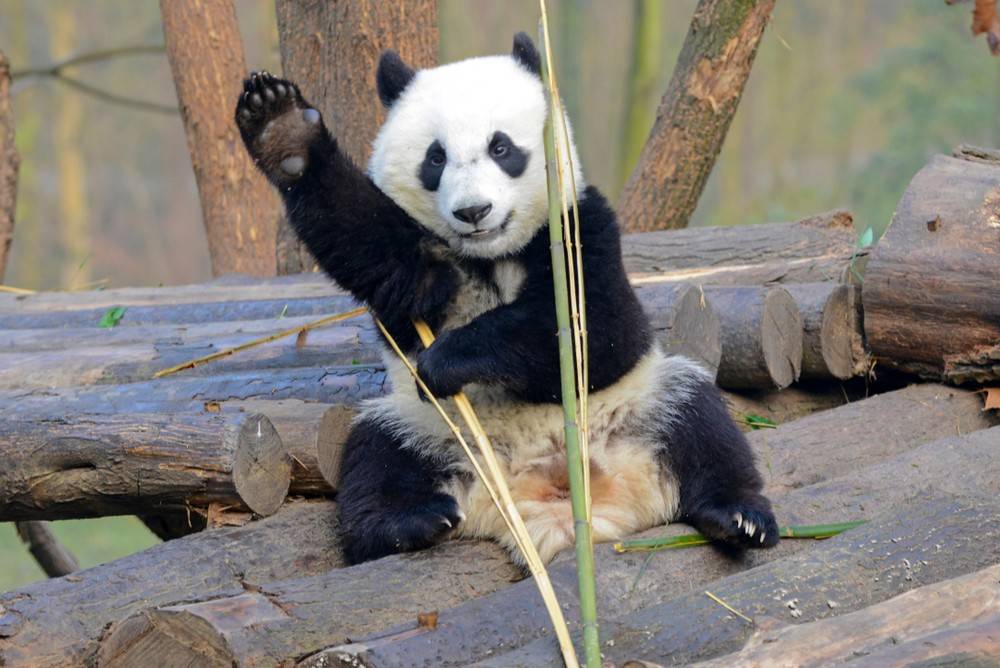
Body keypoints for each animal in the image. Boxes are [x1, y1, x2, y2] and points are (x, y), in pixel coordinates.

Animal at [235, 33, 779, 565]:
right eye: (435, 158)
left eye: (501, 147)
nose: (473, 211)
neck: (491, 255)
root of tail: (544, 504)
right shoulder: (421, 263)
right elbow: (365, 240)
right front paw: (283, 131)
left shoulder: (581, 226)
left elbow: (598, 333)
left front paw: (448, 358)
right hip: (430, 428)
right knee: (376, 455)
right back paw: (408, 522)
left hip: (641, 403)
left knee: (701, 423)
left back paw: (739, 518)